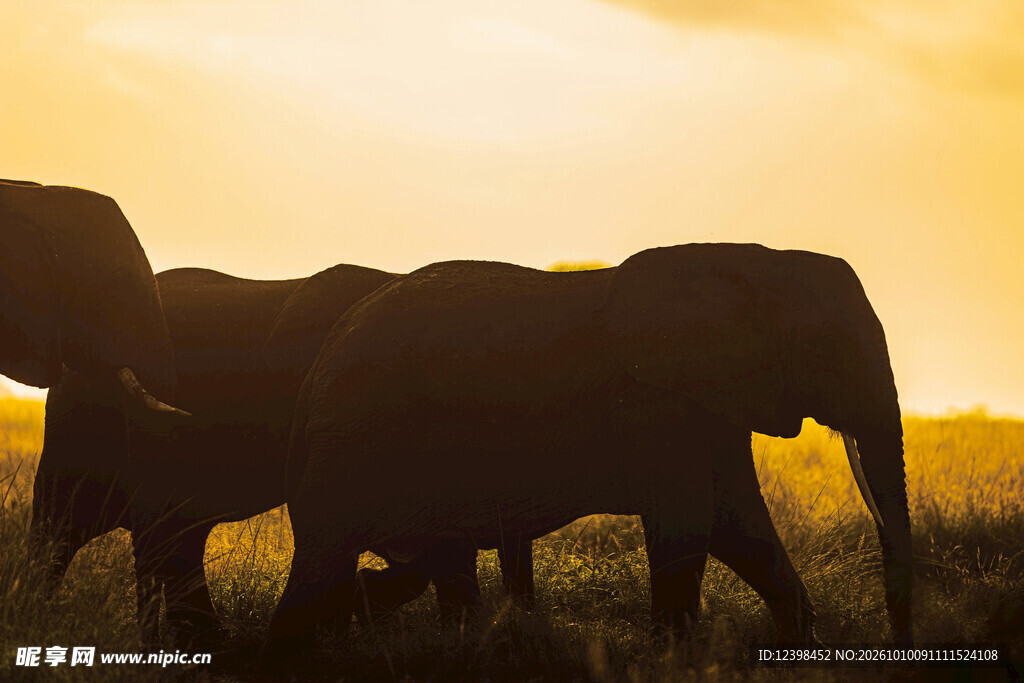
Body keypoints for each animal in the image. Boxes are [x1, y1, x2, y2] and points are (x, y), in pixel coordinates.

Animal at [263, 243, 911, 658]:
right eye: (830, 348)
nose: (897, 643)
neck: (754, 261)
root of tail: (319, 366)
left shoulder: (710, 397)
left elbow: (740, 526)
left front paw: (805, 648)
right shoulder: (661, 400)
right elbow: (691, 522)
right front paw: (673, 660)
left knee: (429, 557)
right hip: (353, 443)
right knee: (325, 557)